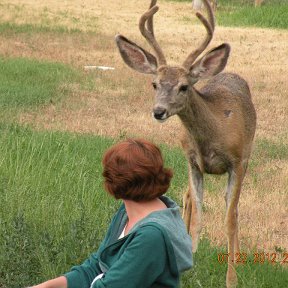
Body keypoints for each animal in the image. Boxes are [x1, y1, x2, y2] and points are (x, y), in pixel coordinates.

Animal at [115, 1, 256, 286]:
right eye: (154, 83)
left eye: (183, 86)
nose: (158, 111)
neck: (213, 134)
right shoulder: (193, 162)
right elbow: (199, 214)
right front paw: (189, 263)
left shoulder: (237, 161)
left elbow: (229, 218)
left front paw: (231, 278)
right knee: (189, 198)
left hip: (246, 158)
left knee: (233, 208)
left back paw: (236, 255)